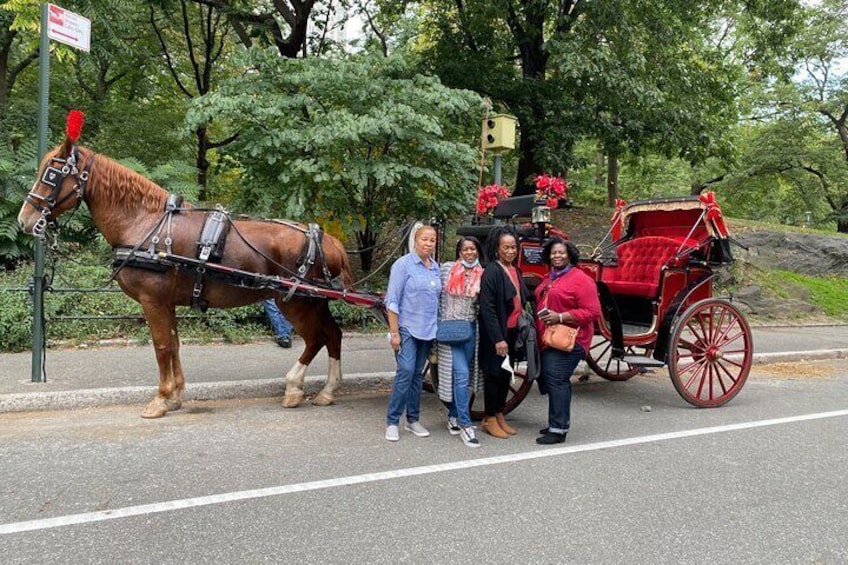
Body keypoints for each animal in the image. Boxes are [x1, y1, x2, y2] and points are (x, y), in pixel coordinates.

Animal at [17, 137, 354, 418]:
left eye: (51, 174)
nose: (25, 220)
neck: (146, 224)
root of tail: (329, 240)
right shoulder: (166, 302)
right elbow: (174, 345)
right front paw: (176, 396)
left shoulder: (152, 301)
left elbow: (161, 347)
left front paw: (161, 399)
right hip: (314, 302)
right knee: (333, 335)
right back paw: (327, 390)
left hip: (295, 302)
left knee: (317, 338)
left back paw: (295, 386)